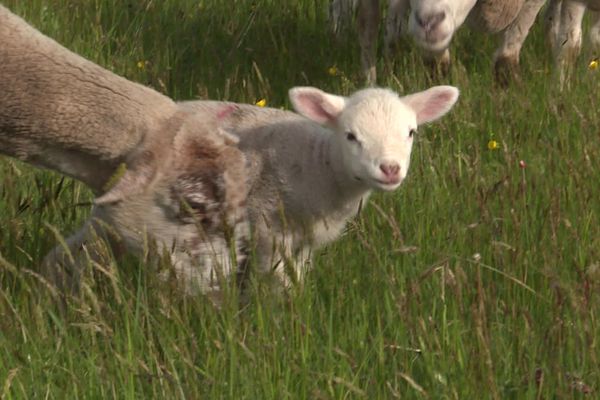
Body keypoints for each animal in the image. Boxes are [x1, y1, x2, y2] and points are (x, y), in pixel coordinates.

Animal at [180, 83, 458, 284]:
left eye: (411, 132)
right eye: (350, 136)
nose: (390, 169)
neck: (318, 166)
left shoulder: (308, 240)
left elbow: (299, 273)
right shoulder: (265, 229)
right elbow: (279, 278)